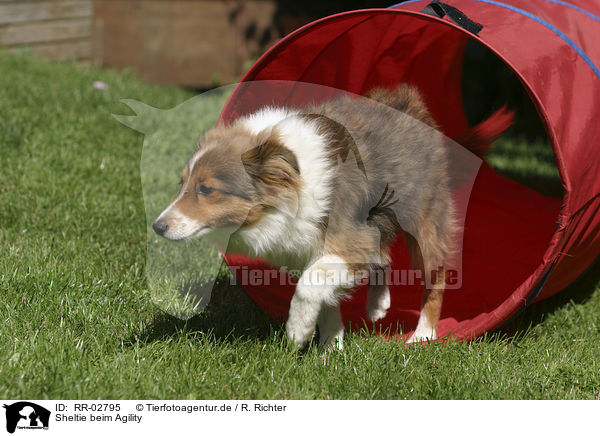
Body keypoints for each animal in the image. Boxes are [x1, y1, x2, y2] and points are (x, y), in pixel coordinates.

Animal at [151, 84, 510, 350]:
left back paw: (424, 333)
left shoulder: (346, 240)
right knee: (382, 257)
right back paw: (377, 305)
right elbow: (326, 298)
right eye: (183, 184)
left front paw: (297, 332)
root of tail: (410, 107)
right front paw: (331, 349)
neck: (291, 181)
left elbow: (311, 284)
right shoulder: (316, 246)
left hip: (425, 224)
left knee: (434, 279)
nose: (157, 226)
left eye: (207, 189)